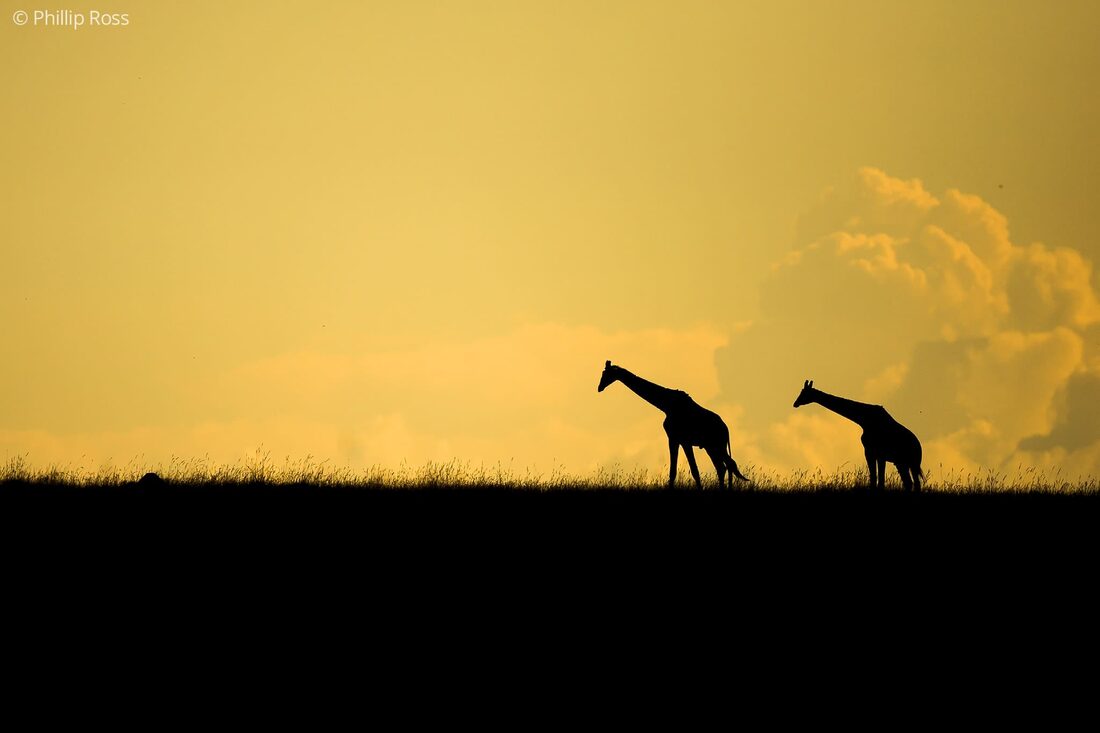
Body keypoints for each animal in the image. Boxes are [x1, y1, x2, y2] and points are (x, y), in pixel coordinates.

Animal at [597, 361, 749, 488]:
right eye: (602, 373)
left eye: (606, 374)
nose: (599, 387)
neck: (666, 405)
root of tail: (726, 429)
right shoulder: (677, 439)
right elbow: (675, 472)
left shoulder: (680, 439)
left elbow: (692, 471)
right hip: (710, 447)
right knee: (723, 467)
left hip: (717, 445)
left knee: (729, 464)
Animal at [792, 380, 924, 491]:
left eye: (804, 393)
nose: (795, 403)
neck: (863, 420)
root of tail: (919, 448)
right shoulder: (877, 453)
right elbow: (877, 478)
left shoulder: (873, 451)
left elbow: (876, 478)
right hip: (902, 463)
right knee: (910, 483)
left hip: (911, 463)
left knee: (913, 483)